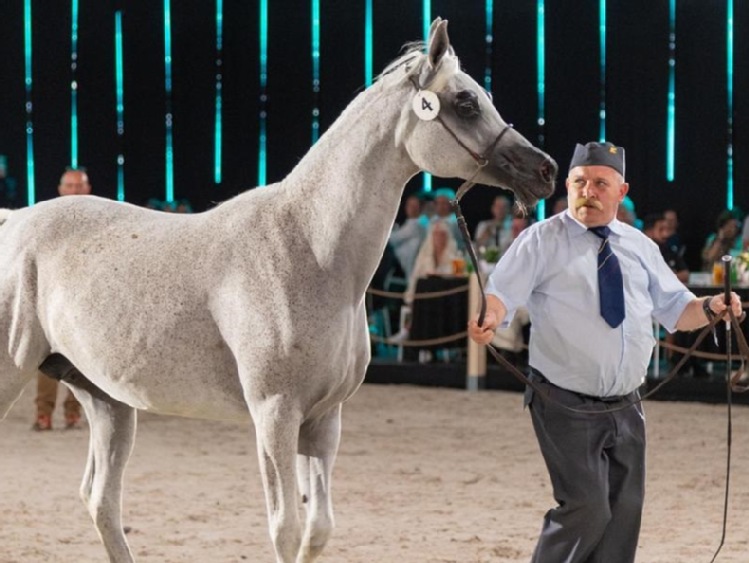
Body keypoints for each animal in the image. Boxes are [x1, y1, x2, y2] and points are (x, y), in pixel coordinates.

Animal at [0, 18, 556, 563]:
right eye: (465, 102)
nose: (545, 170)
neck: (307, 246)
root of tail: (15, 219)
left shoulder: (323, 419)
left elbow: (318, 530)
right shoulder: (274, 415)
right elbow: (286, 528)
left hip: (106, 401)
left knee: (101, 501)